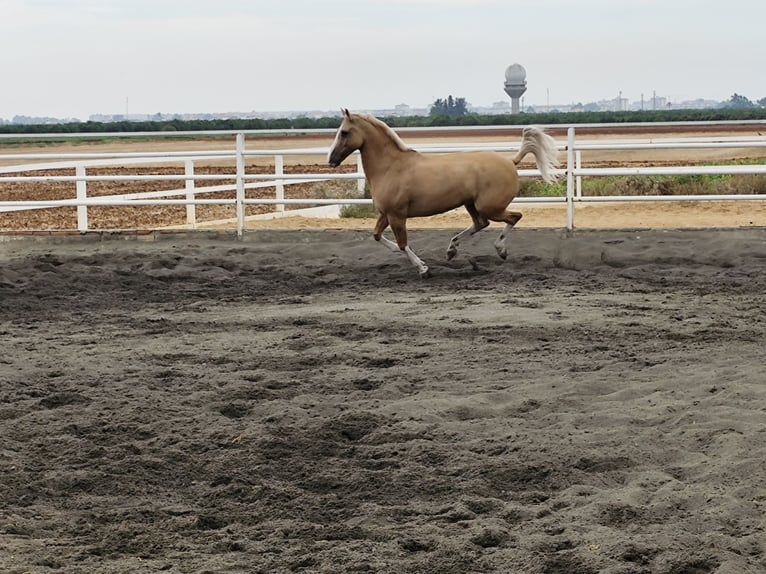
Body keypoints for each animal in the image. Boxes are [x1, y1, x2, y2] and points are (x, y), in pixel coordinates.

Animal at [327, 109, 560, 277]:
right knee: (481, 223)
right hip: (471, 204)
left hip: (490, 206)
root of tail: (511, 161)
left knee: (514, 217)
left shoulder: (397, 215)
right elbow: (377, 236)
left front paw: (423, 269)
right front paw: (401, 254)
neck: (391, 167)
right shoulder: (386, 214)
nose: (331, 160)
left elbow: (403, 244)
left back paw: (500, 250)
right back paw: (452, 249)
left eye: (344, 132)